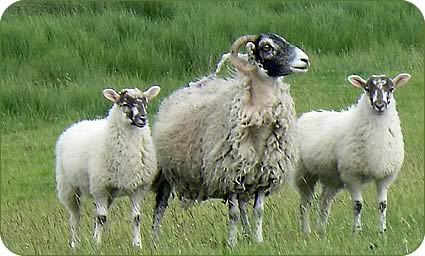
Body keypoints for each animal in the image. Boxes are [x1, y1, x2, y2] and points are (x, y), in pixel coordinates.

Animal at [54, 85, 161, 248]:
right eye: (124, 104)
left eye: (145, 102)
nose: (142, 118)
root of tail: (77, 124)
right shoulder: (100, 188)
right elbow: (102, 218)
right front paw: (97, 245)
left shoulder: (137, 187)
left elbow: (136, 217)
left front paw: (137, 244)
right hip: (68, 187)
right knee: (75, 217)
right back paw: (74, 244)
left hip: (107, 194)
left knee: (93, 214)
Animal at [151, 33, 310, 245]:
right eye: (267, 47)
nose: (305, 60)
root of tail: (191, 85)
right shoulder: (228, 175)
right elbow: (233, 214)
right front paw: (231, 243)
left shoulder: (263, 175)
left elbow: (258, 211)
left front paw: (258, 240)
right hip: (166, 171)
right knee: (160, 205)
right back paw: (154, 239)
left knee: (243, 205)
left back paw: (247, 233)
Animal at [294, 73, 410, 235]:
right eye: (367, 88)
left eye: (391, 88)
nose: (380, 105)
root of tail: (307, 114)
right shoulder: (352, 175)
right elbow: (357, 204)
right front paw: (356, 231)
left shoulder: (385, 176)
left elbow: (382, 204)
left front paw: (382, 231)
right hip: (304, 173)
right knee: (305, 204)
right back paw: (306, 231)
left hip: (332, 177)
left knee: (324, 201)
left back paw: (321, 231)